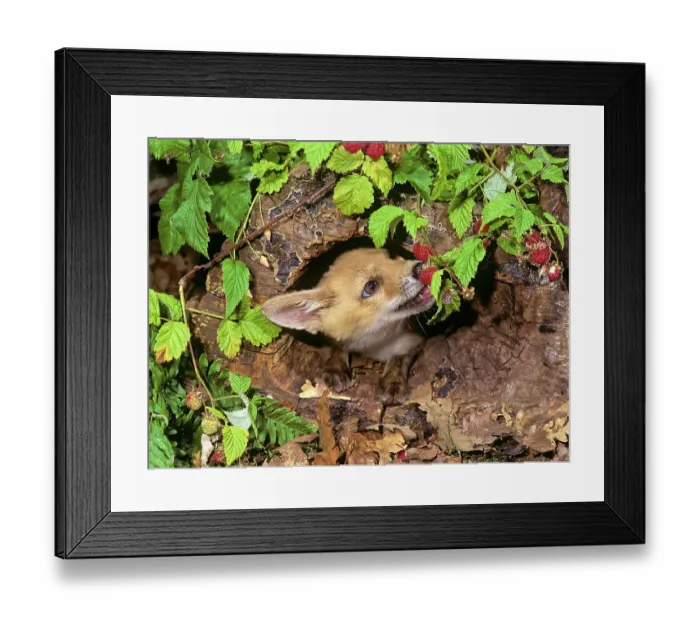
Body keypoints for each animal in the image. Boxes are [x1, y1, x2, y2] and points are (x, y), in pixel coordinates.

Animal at [261, 248, 435, 404]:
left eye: (392, 255)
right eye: (371, 286)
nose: (419, 267)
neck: (375, 344)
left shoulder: (414, 341)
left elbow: (398, 358)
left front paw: (394, 381)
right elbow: (337, 347)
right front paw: (334, 367)